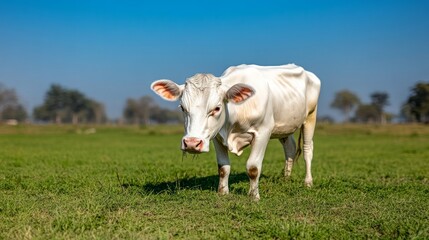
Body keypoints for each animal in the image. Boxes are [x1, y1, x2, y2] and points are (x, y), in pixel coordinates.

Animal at [151, 64, 320, 201]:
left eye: (217, 108)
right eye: (182, 108)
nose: (192, 143)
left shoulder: (263, 131)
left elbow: (253, 167)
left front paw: (254, 196)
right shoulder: (216, 136)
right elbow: (223, 167)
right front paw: (223, 192)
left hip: (310, 116)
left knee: (307, 150)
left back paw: (308, 182)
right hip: (285, 127)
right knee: (290, 149)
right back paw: (285, 178)